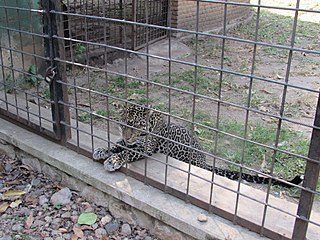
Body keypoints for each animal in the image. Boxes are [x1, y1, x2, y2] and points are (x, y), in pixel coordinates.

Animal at [92, 103, 302, 188]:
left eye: (136, 126)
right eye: (122, 124)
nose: (128, 137)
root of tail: (204, 162)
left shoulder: (146, 149)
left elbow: (128, 153)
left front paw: (113, 160)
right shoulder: (127, 142)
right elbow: (117, 145)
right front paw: (103, 150)